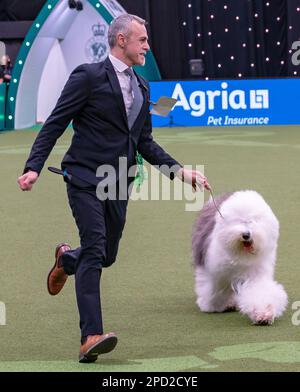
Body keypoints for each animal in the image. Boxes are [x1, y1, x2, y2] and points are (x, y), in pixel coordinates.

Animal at [192, 191, 288, 324]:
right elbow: (214, 290)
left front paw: (264, 314)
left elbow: (259, 291)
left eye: (252, 221)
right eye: (238, 221)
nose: (246, 235)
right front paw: (211, 305)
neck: (241, 255)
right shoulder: (217, 273)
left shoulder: (255, 274)